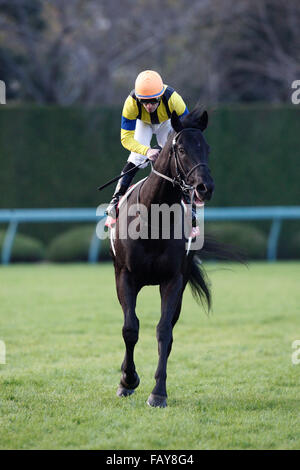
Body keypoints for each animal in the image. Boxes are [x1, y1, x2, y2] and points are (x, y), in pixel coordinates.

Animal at [111, 106, 214, 408]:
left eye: (207, 148)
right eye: (180, 148)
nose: (205, 187)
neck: (152, 221)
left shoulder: (173, 280)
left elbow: (164, 331)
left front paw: (158, 392)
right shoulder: (125, 276)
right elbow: (130, 328)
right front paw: (127, 380)